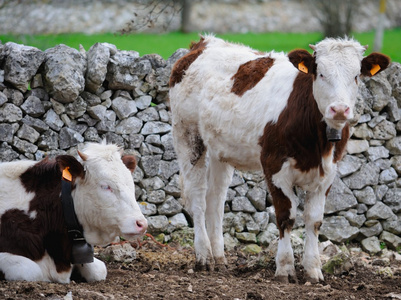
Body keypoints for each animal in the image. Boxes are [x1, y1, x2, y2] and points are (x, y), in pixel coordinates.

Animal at [169, 35, 388, 284]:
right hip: (188, 135)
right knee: (198, 197)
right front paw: (285, 268)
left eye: (356, 76)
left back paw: (219, 258)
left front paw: (314, 270)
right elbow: (286, 217)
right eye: (321, 73)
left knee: (215, 199)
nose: (340, 109)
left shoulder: (328, 173)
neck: (318, 144)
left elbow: (314, 221)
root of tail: (204, 43)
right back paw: (204, 257)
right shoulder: (274, 166)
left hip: (220, 149)